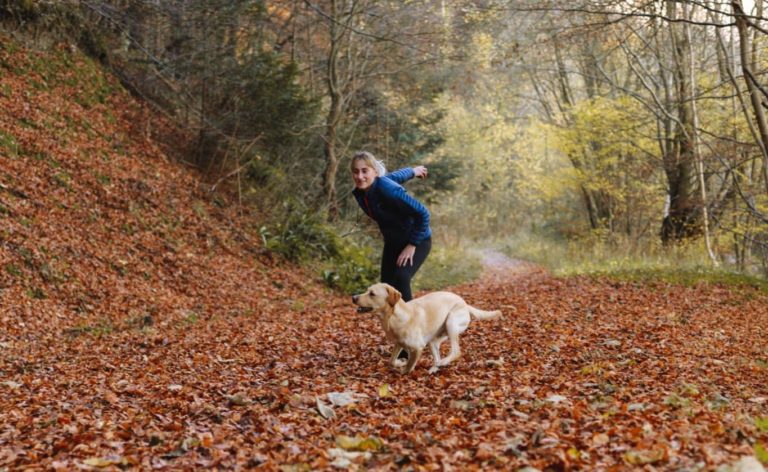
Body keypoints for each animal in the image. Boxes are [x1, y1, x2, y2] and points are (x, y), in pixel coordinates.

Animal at [352, 282, 500, 374]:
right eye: (367, 290)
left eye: (372, 293)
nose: (353, 297)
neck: (393, 317)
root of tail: (464, 303)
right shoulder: (398, 344)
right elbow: (391, 361)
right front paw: (400, 362)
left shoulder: (418, 347)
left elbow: (409, 366)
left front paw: (404, 370)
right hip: (433, 341)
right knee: (438, 355)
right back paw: (436, 367)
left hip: (451, 322)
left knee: (456, 351)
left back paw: (443, 362)